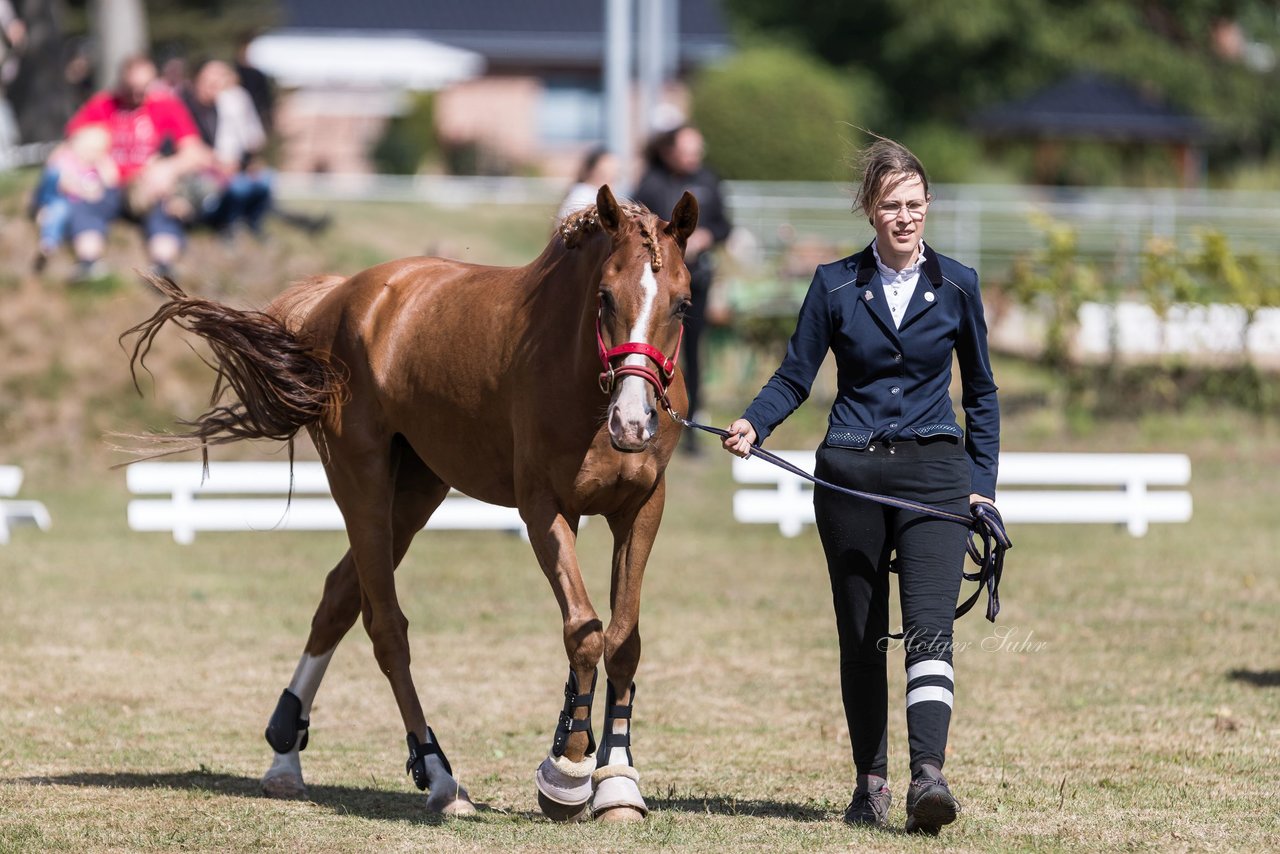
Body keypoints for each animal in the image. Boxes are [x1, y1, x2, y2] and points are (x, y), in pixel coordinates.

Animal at [122, 188, 701, 819]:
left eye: (683, 304)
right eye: (604, 296)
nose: (633, 423)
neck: (579, 370)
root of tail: (340, 295)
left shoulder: (641, 508)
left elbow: (623, 640)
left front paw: (618, 785)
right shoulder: (544, 509)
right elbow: (585, 631)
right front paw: (566, 773)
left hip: (417, 491)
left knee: (339, 598)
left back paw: (285, 756)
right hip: (363, 484)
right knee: (386, 627)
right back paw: (439, 775)